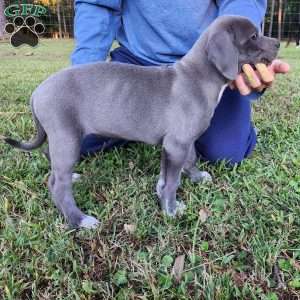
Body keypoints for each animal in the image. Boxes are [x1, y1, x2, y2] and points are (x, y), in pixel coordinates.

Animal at [2, 15, 278, 227]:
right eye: (253, 37)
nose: (277, 43)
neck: (199, 76)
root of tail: (37, 92)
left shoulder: (179, 142)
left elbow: (182, 165)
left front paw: (193, 179)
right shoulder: (177, 143)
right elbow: (173, 181)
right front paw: (170, 209)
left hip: (59, 138)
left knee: (52, 164)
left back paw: (74, 179)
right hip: (67, 138)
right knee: (58, 185)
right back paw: (80, 220)